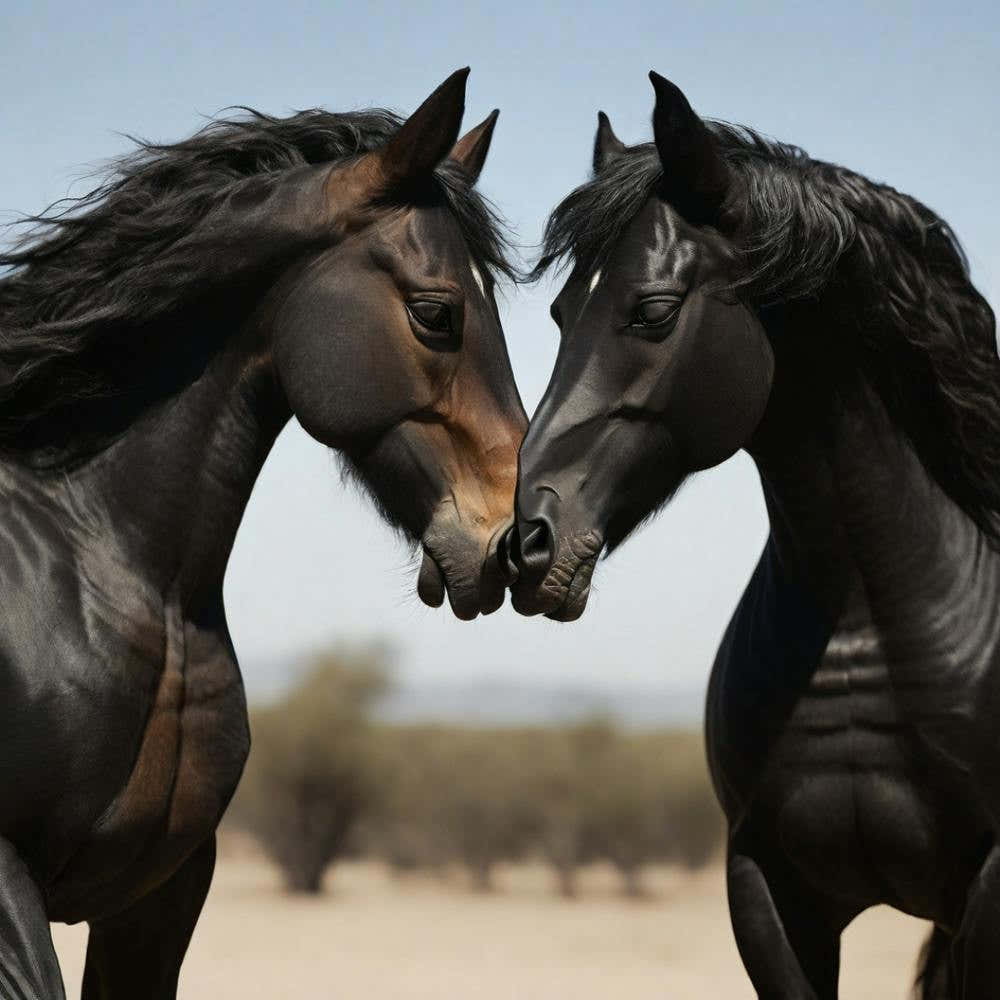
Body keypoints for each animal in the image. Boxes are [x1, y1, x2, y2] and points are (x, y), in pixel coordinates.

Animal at [505, 72, 999, 998]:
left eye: (653, 310)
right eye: (559, 310)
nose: (526, 544)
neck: (865, 621)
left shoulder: (988, 887)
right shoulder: (769, 889)